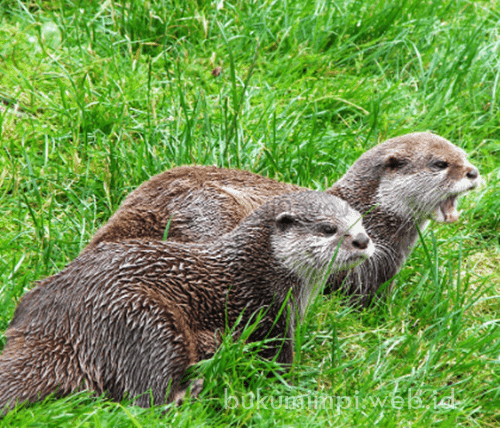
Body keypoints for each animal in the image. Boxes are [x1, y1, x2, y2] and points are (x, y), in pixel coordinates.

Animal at [0, 191, 376, 412]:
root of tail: (60, 326)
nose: (362, 240)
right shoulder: (268, 319)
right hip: (147, 318)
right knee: (145, 398)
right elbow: (279, 364)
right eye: (328, 228)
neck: (255, 270)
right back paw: (194, 389)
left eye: (360, 221)